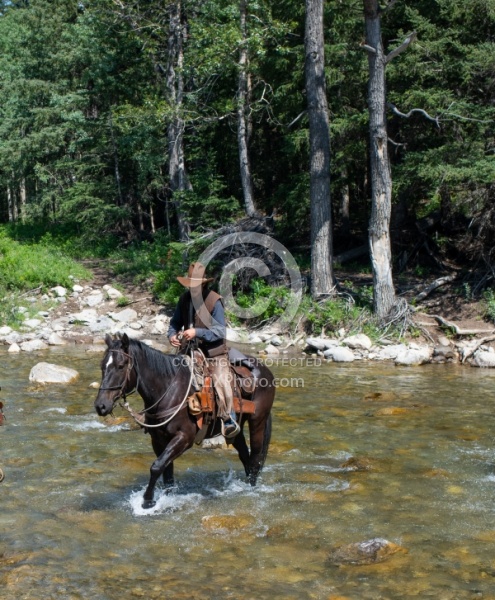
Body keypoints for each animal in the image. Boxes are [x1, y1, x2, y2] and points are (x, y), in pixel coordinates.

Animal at [94, 336, 276, 508]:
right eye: (102, 366)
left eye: (121, 365)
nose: (101, 406)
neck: (169, 390)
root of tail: (265, 370)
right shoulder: (158, 440)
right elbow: (166, 472)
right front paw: (166, 498)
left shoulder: (184, 438)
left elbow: (156, 466)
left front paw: (147, 502)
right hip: (235, 429)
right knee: (245, 456)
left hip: (257, 421)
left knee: (255, 459)